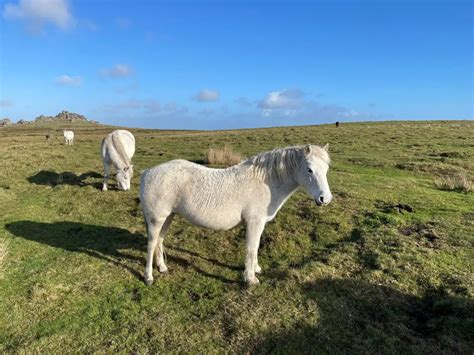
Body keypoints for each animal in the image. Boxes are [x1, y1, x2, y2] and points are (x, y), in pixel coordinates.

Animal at [141, 143, 334, 286]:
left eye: (326, 169)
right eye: (309, 169)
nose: (325, 198)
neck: (265, 182)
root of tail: (148, 172)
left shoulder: (259, 224)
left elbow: (255, 247)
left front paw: (256, 269)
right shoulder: (254, 222)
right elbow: (251, 248)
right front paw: (250, 278)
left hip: (168, 217)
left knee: (159, 241)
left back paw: (162, 267)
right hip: (156, 219)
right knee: (151, 244)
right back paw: (149, 277)